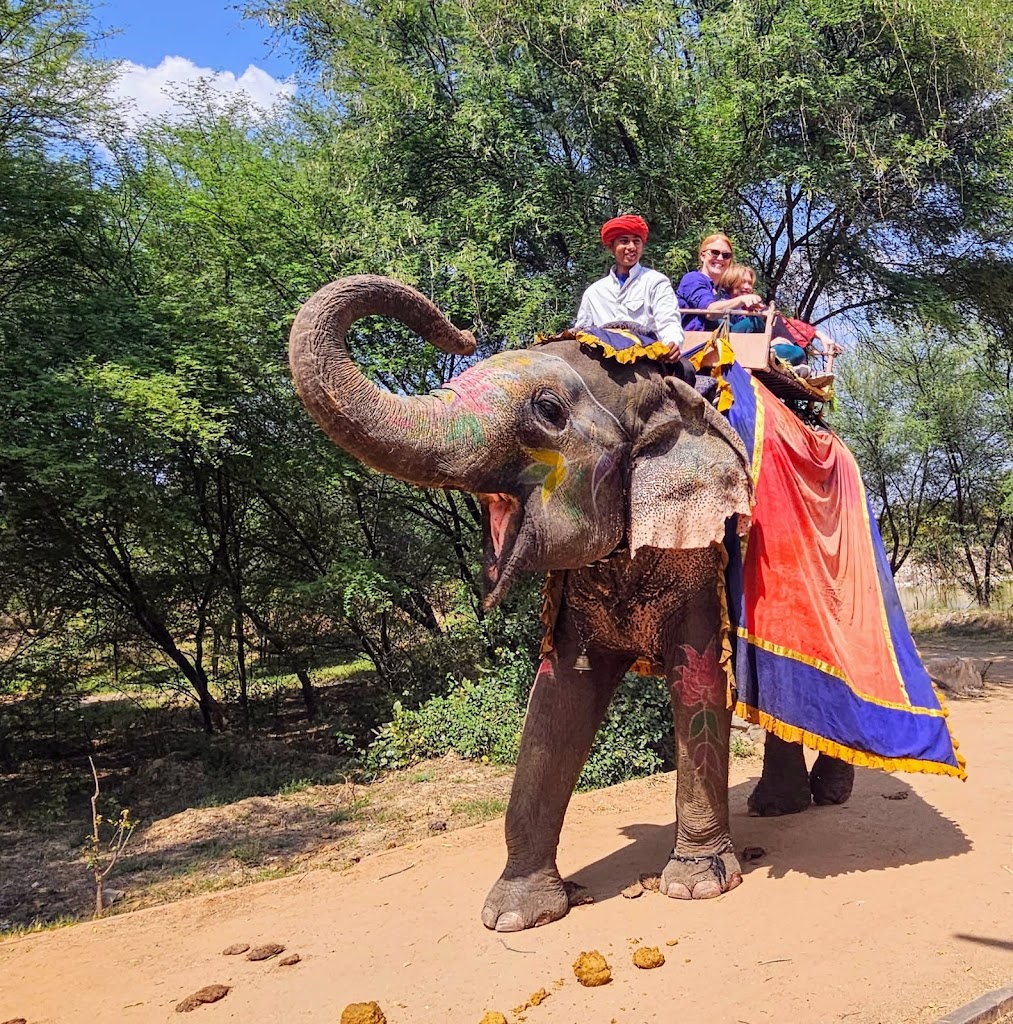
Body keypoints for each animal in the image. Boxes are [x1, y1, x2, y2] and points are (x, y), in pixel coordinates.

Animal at [288, 274, 855, 932]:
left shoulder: (701, 547)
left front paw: (695, 886)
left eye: (549, 411)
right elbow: (559, 700)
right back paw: (777, 809)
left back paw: (827, 798)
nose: (463, 331)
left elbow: (697, 681)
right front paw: (515, 916)